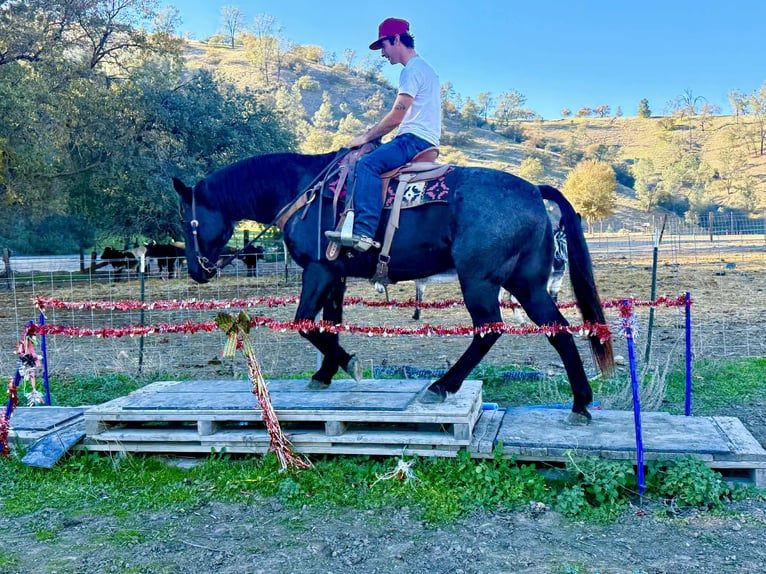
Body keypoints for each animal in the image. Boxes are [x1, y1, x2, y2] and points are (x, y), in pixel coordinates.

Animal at [173, 150, 613, 422]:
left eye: (187, 219)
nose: (196, 271)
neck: (303, 191)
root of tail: (535, 190)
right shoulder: (335, 275)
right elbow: (330, 322)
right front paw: (326, 373)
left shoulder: (318, 270)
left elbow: (305, 323)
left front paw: (349, 363)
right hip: (528, 284)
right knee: (558, 330)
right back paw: (580, 403)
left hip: (480, 281)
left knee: (489, 330)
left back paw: (443, 385)